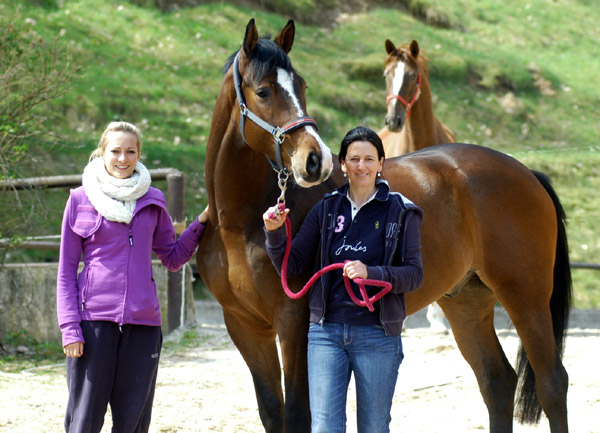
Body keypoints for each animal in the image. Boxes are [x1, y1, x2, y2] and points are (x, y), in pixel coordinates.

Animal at [197, 17, 572, 432]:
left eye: (302, 86)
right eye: (263, 91)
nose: (316, 160)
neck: (238, 225)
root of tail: (526, 173)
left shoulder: (293, 324)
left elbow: (296, 413)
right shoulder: (245, 329)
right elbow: (271, 413)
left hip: (527, 297)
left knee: (552, 383)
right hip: (467, 303)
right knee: (497, 381)